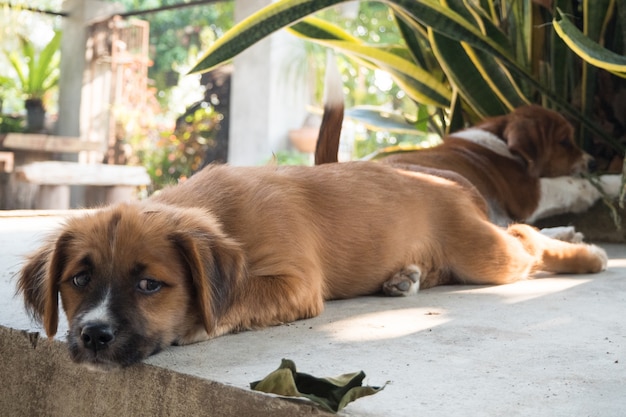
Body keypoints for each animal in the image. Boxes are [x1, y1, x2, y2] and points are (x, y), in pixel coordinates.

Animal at [17, 155, 608, 368]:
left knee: (524, 239)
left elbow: (236, 298)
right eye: (79, 279)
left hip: (485, 257)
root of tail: (445, 179)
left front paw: (193, 325)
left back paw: (586, 249)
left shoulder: (297, 284)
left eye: (149, 286)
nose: (93, 336)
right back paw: (405, 276)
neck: (217, 210)